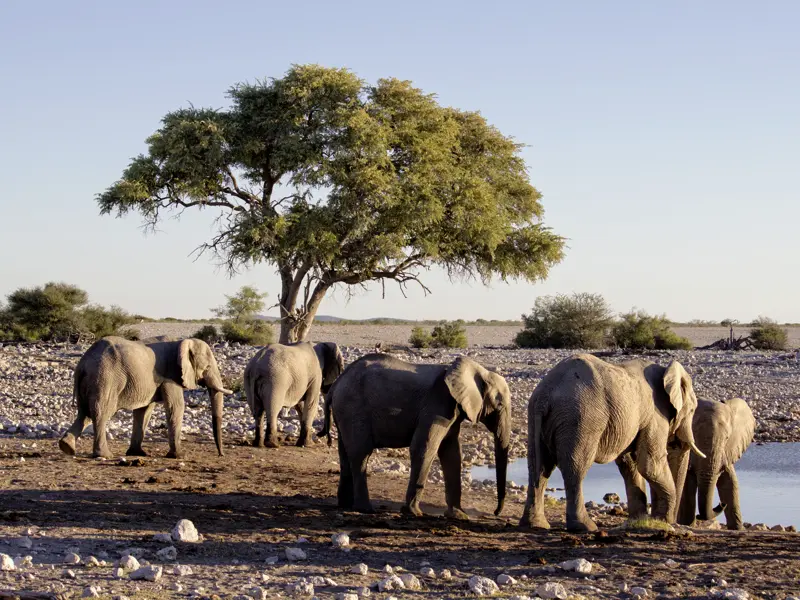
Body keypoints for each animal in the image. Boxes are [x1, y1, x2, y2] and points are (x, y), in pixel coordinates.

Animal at [59, 338, 233, 460]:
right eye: (207, 368)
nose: (221, 455)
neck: (181, 342)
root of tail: (83, 363)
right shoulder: (170, 377)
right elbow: (176, 407)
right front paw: (179, 456)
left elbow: (144, 411)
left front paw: (137, 453)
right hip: (105, 380)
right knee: (100, 414)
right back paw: (104, 455)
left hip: (91, 382)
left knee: (84, 414)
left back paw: (66, 447)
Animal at [320, 354, 512, 516]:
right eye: (499, 405)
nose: (496, 512)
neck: (478, 370)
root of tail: (335, 385)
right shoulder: (438, 405)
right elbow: (424, 447)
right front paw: (414, 513)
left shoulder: (452, 410)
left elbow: (452, 454)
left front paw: (458, 516)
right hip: (353, 408)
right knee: (361, 454)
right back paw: (365, 509)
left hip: (344, 411)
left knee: (345, 453)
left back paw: (345, 505)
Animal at [520, 354, 704, 532]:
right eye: (692, 410)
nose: (674, 521)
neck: (665, 370)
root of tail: (546, 394)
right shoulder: (655, 416)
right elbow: (649, 464)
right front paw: (661, 521)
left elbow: (629, 463)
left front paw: (640, 521)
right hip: (580, 418)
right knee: (575, 468)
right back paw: (585, 527)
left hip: (537, 417)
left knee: (539, 467)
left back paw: (535, 525)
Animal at [676, 398, 756, 528]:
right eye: (693, 436)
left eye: (727, 438)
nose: (721, 504)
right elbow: (687, 483)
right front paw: (687, 525)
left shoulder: (726, 453)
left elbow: (729, 483)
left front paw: (737, 529)